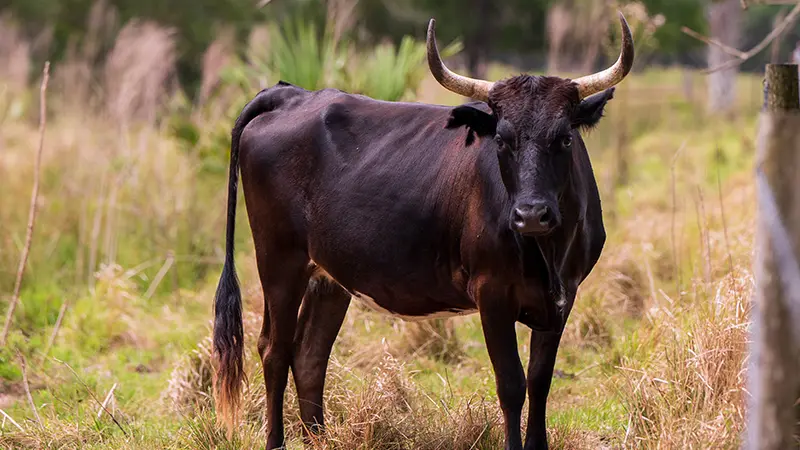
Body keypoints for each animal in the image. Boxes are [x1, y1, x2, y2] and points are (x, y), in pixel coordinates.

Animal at [216, 14, 636, 450]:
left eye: (565, 138)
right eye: (502, 140)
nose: (531, 214)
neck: (546, 253)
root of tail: (293, 94)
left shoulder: (563, 296)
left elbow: (539, 382)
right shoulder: (492, 293)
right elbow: (511, 384)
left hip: (328, 276)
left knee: (309, 354)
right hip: (279, 259)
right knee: (274, 349)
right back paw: (276, 440)